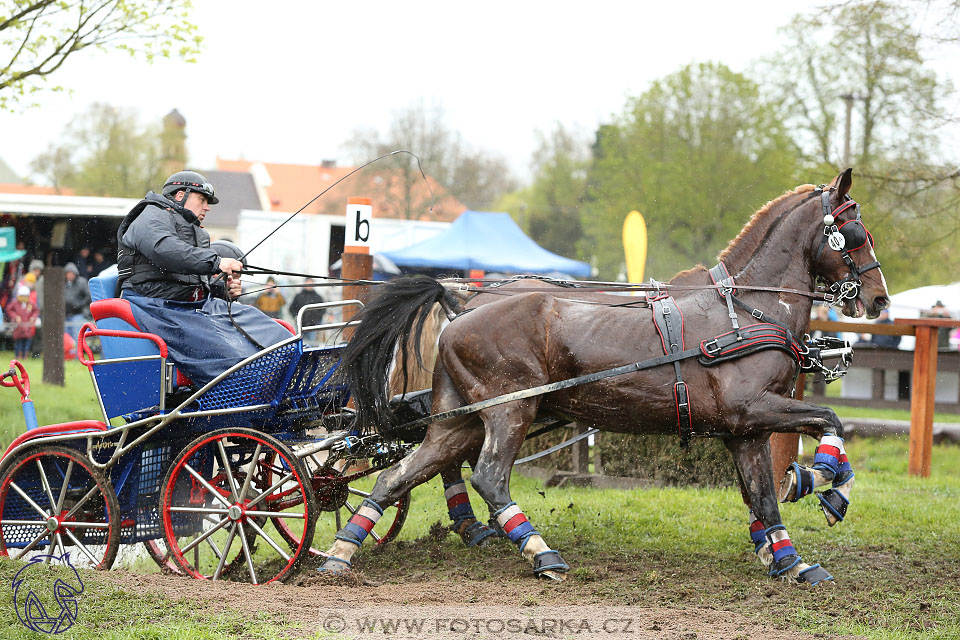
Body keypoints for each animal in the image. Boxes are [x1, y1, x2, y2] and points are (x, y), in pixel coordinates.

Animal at [318, 171, 888, 584]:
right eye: (855, 232)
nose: (880, 300)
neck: (746, 310)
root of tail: (460, 306)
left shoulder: (743, 431)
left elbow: (763, 496)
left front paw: (790, 558)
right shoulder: (753, 410)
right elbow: (829, 420)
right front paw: (826, 483)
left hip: (457, 422)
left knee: (400, 475)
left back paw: (341, 552)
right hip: (509, 411)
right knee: (488, 478)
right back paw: (541, 553)